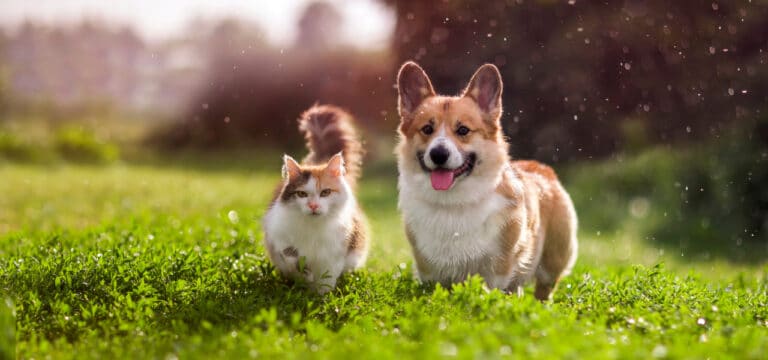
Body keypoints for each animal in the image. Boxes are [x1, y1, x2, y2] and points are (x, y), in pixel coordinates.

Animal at [396, 62, 576, 300]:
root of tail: (542, 168)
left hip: (552, 261)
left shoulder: (498, 268)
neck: (453, 203)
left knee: (543, 290)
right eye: (427, 129)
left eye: (463, 130)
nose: (438, 154)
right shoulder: (429, 270)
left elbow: (493, 290)